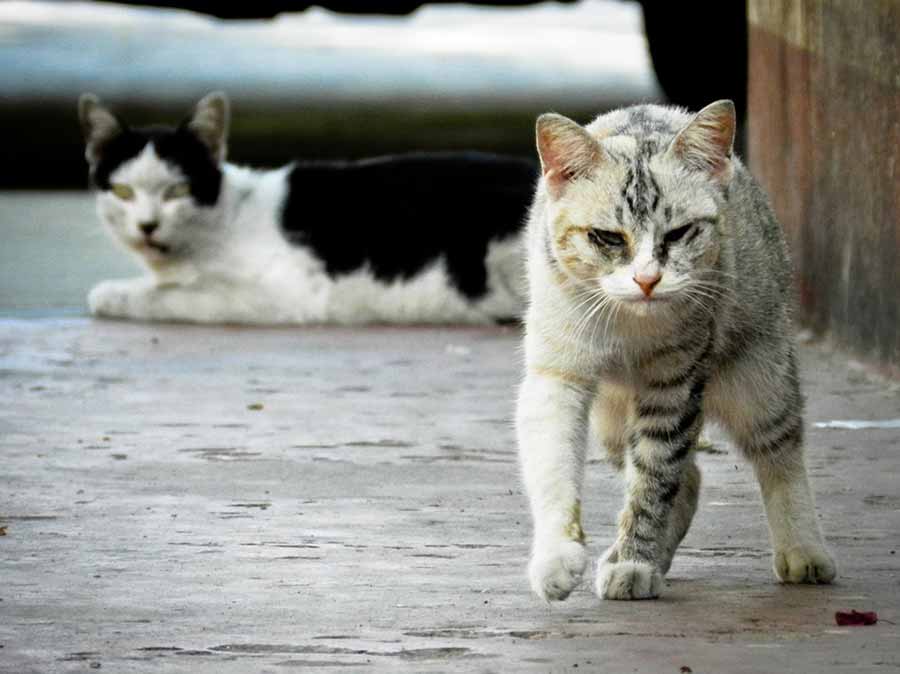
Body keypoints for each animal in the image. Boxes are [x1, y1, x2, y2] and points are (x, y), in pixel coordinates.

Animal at [79, 93, 536, 324]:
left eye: (177, 190)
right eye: (122, 191)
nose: (148, 225)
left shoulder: (284, 295)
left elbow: (166, 297)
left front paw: (116, 293)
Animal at [516, 98, 840, 600]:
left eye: (679, 233)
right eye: (608, 238)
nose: (647, 279)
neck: (628, 324)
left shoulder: (674, 383)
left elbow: (654, 479)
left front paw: (634, 562)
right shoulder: (557, 373)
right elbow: (553, 465)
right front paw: (557, 558)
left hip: (759, 376)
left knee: (778, 450)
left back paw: (803, 550)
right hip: (614, 423)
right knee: (688, 479)